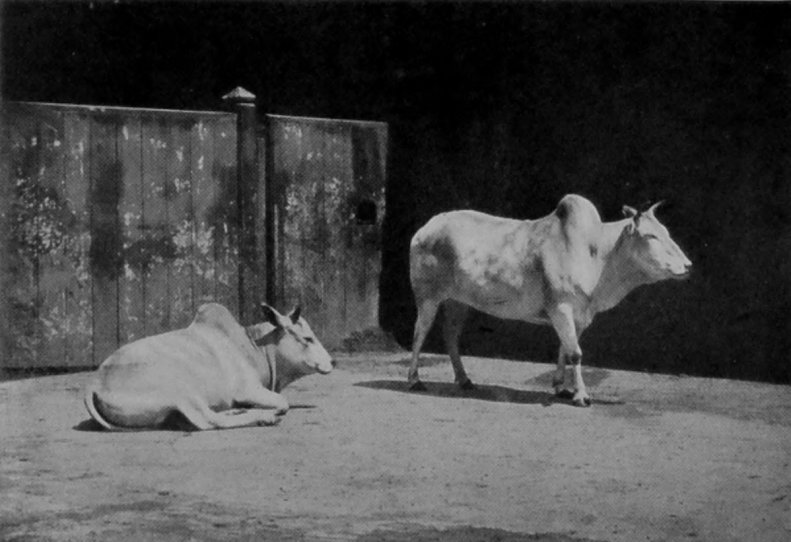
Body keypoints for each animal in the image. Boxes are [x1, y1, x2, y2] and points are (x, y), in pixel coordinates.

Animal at [84, 302, 335, 430]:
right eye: (308, 338)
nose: (332, 362)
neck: (253, 345)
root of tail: (95, 383)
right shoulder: (247, 389)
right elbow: (283, 403)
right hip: (182, 391)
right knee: (209, 421)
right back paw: (264, 416)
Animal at [408, 194, 692, 406]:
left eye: (666, 232)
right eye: (651, 236)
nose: (687, 265)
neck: (597, 253)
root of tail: (426, 227)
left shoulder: (577, 315)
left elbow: (565, 349)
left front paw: (561, 388)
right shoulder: (561, 309)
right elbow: (575, 353)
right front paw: (582, 396)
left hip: (458, 302)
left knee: (450, 335)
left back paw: (464, 379)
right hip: (428, 297)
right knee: (420, 332)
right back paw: (414, 380)